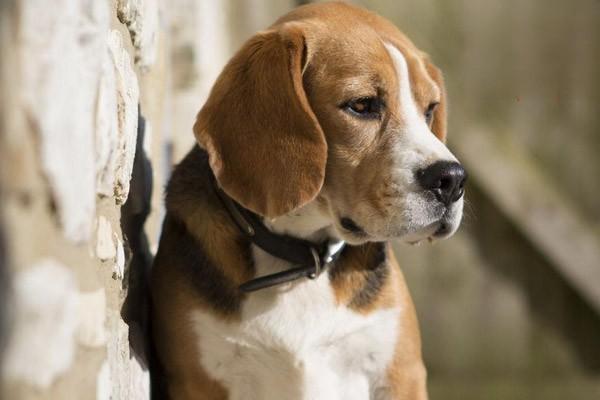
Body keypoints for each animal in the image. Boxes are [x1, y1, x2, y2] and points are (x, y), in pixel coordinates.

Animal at [152, 1, 466, 398]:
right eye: (362, 105)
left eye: (430, 109)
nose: (452, 180)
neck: (303, 259)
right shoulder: (197, 382)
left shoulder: (401, 375)